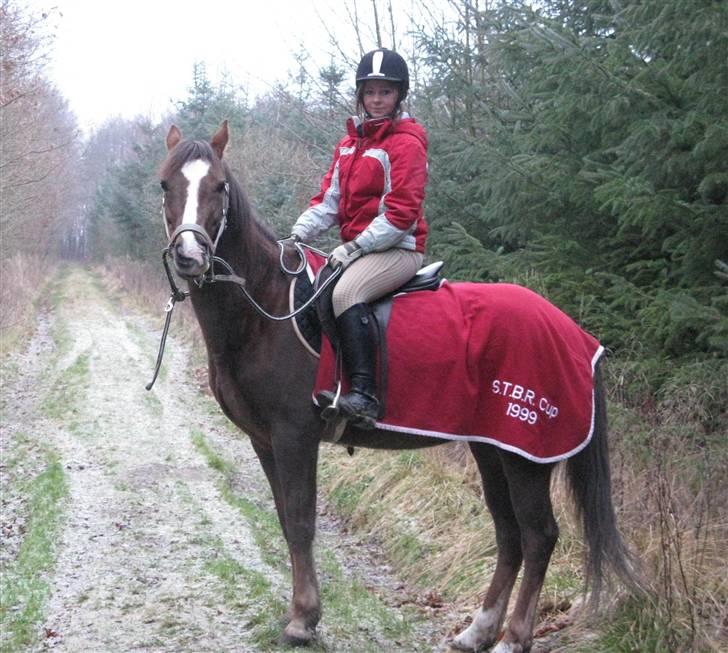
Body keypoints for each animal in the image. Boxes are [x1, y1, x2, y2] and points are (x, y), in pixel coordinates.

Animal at [158, 121, 636, 652]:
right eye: (165, 185)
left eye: (219, 187)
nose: (190, 256)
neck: (265, 308)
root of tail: (573, 333)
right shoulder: (264, 440)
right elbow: (285, 519)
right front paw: (303, 611)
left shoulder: (294, 436)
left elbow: (301, 522)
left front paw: (303, 619)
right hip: (493, 450)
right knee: (509, 533)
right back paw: (478, 630)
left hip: (525, 455)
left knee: (538, 536)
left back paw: (513, 638)